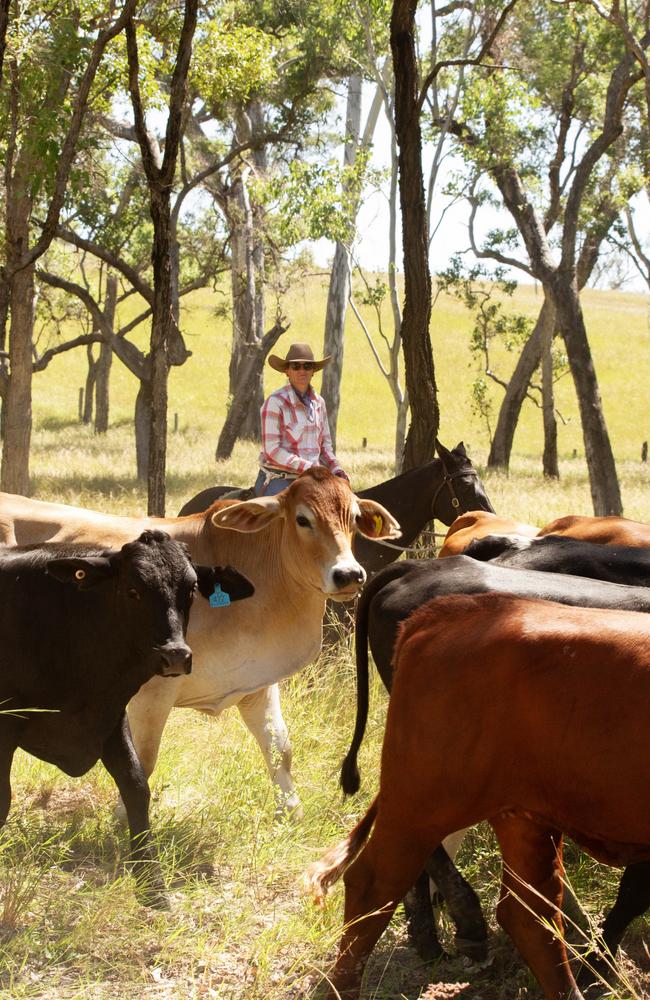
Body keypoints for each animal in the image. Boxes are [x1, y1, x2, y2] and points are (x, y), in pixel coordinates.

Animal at [0, 532, 253, 908]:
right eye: (133, 591)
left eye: (191, 589)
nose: (175, 655)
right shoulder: (6, 723)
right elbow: (3, 798)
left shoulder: (111, 716)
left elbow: (136, 786)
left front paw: (151, 882)